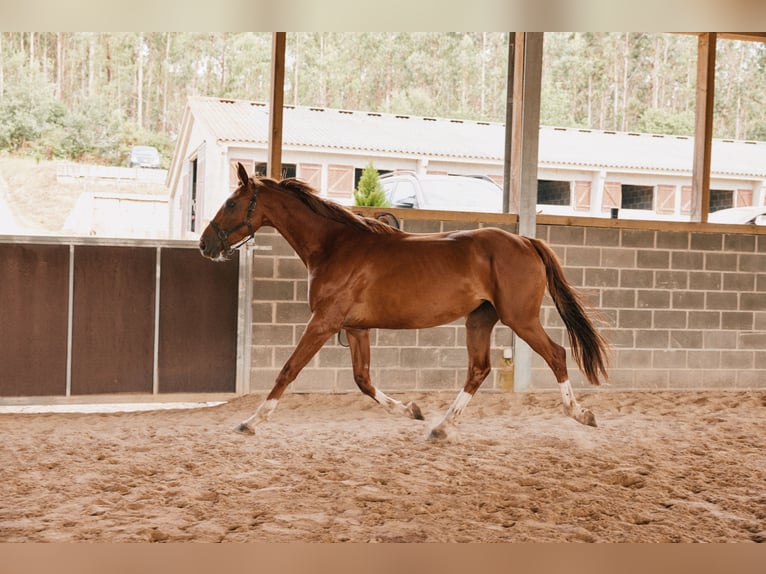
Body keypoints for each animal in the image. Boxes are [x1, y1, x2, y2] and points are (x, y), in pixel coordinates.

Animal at [199, 163, 609, 439]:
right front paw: (412, 410)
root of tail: (526, 241)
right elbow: (363, 380)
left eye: (232, 203)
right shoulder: (354, 328)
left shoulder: (324, 322)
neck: (335, 246)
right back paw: (441, 427)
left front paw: (250, 421)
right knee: (479, 370)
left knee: (556, 354)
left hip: (519, 318)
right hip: (480, 319)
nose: (205, 245)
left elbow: (288, 370)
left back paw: (581, 414)